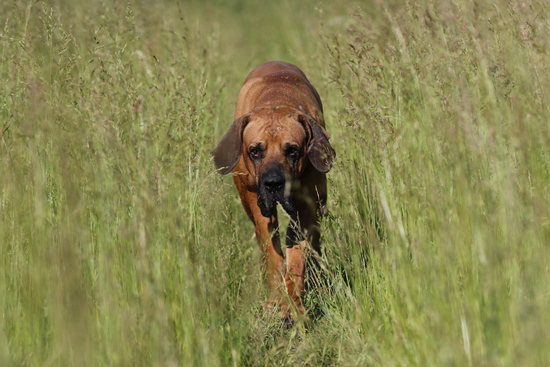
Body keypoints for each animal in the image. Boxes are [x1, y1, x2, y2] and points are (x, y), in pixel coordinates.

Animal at [215, 61, 336, 322]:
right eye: (255, 151)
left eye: (292, 150)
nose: (273, 183)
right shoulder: (258, 206)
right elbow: (273, 254)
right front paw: (276, 301)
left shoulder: (307, 208)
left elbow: (296, 258)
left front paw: (293, 307)